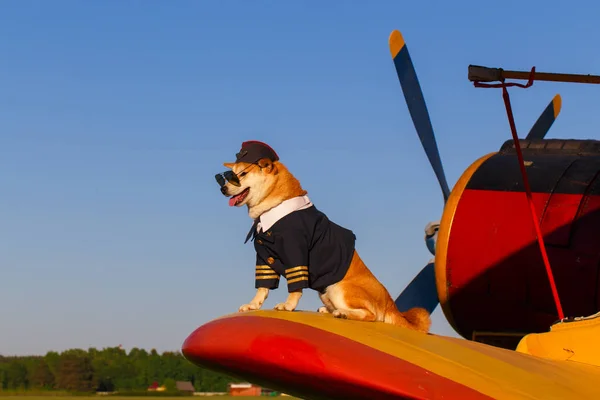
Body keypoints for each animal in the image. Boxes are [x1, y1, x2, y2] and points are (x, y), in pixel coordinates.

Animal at [216, 141, 432, 334]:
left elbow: (295, 288)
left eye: (242, 174)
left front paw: (288, 306)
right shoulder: (264, 258)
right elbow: (262, 288)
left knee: (370, 315)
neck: (272, 212)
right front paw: (253, 305)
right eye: (229, 175)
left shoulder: (296, 254)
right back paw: (330, 310)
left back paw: (342, 313)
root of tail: (390, 304)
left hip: (339, 289)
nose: (223, 189)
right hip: (326, 291)